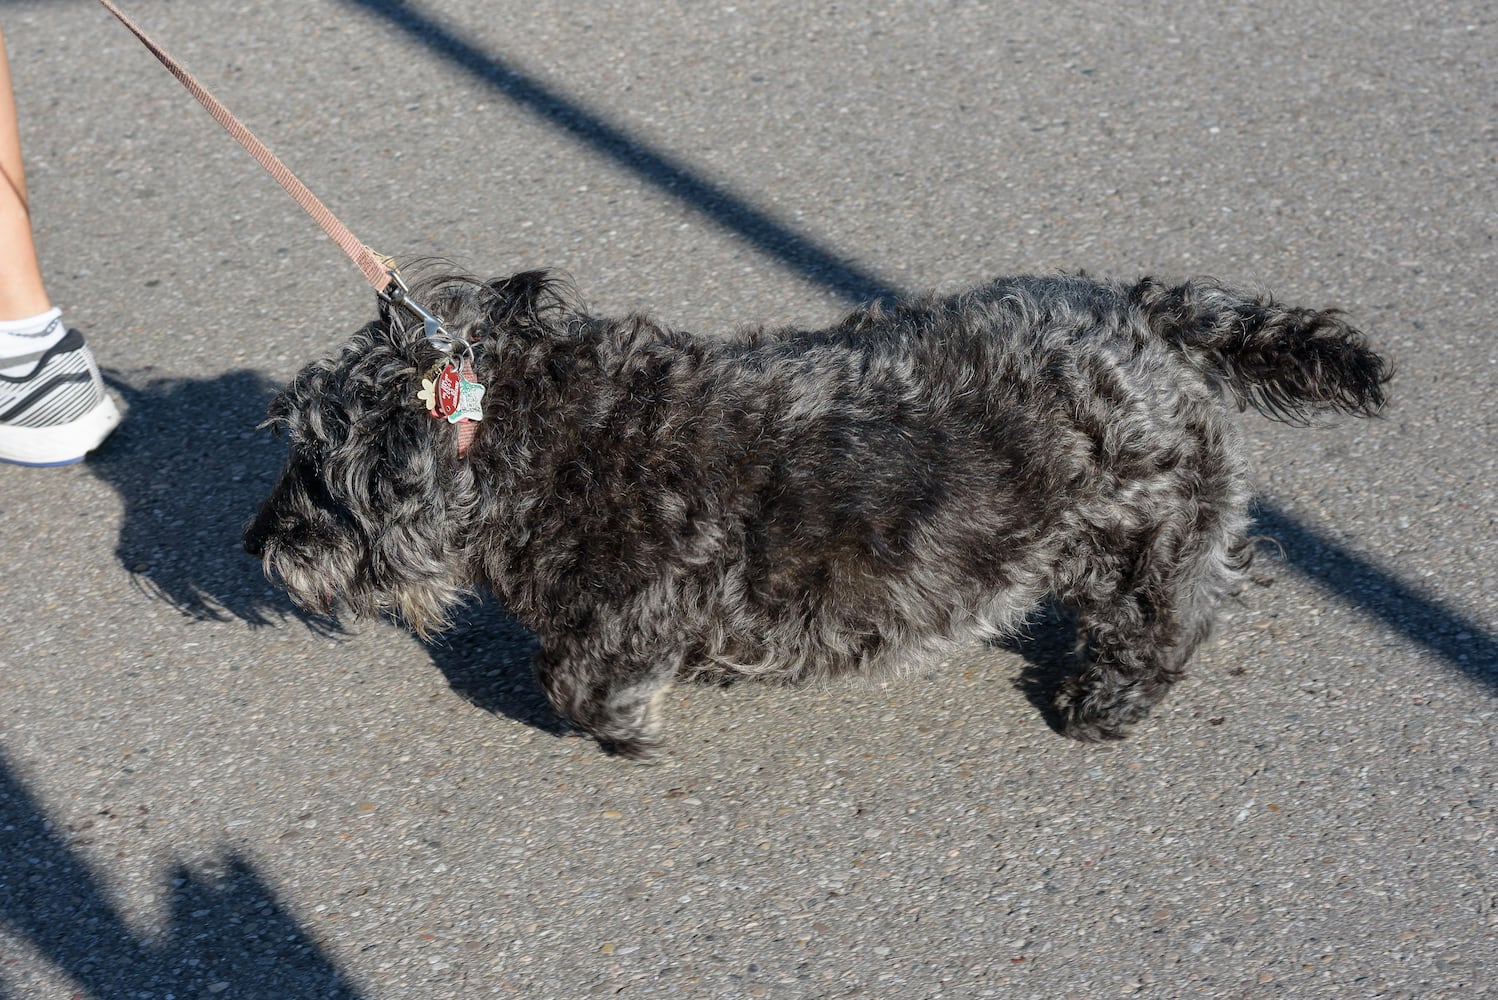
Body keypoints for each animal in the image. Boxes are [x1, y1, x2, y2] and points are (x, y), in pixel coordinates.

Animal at [242, 269, 1378, 754]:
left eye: (315, 471)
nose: (258, 544)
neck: (541, 434)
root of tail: (1146, 314)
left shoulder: (632, 614)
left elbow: (574, 682)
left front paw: (633, 730)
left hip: (1143, 531)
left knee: (1175, 611)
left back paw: (1106, 699)